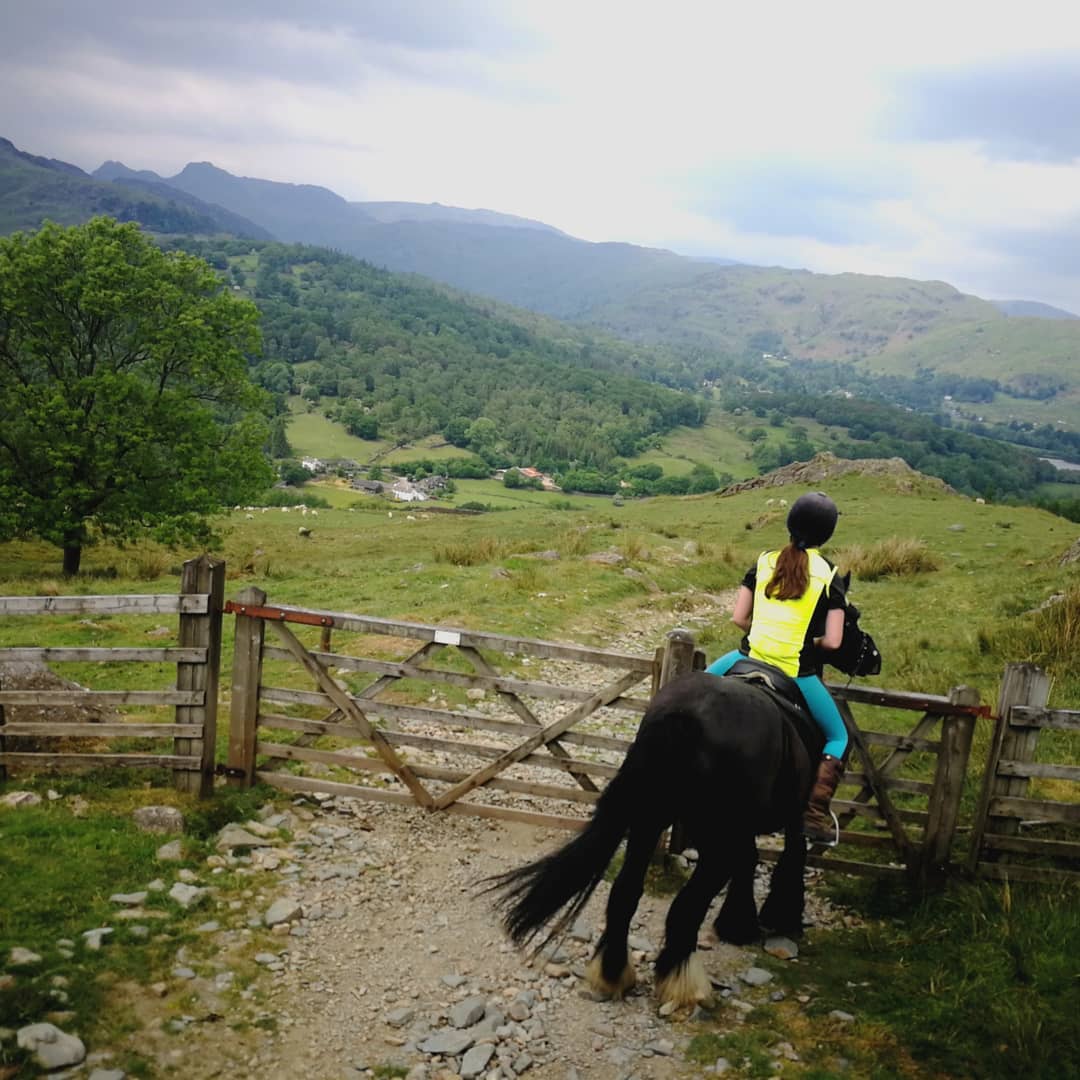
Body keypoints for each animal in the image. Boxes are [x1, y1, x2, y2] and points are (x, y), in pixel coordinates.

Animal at [486, 610, 879, 1009]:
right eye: (850, 620)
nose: (873, 658)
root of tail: (686, 717)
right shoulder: (789, 819)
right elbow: (789, 859)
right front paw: (780, 918)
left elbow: (751, 860)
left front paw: (738, 923)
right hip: (713, 837)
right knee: (688, 903)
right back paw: (683, 983)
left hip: (650, 821)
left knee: (625, 891)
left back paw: (612, 973)